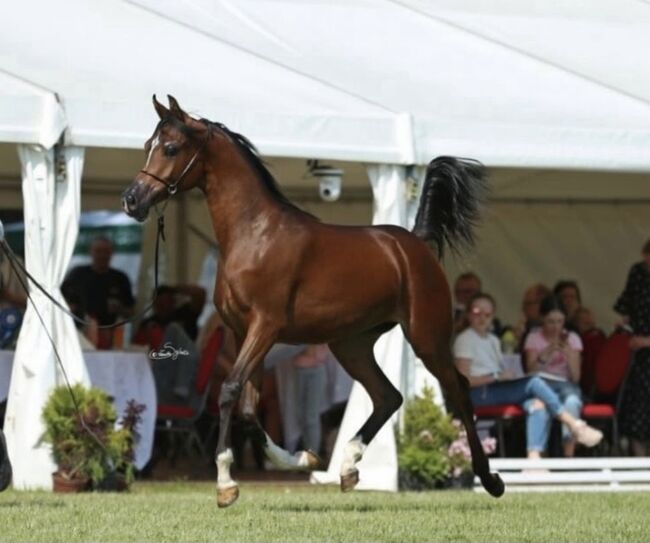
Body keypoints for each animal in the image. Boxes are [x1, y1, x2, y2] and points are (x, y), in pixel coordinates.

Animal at [124, 95, 504, 508]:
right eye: (147, 146)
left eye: (171, 148)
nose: (132, 200)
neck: (255, 234)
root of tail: (414, 244)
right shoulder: (244, 333)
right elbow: (248, 409)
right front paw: (305, 458)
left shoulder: (265, 327)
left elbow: (229, 392)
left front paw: (225, 483)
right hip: (351, 344)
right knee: (388, 396)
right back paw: (348, 467)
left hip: (426, 337)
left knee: (459, 389)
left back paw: (490, 478)